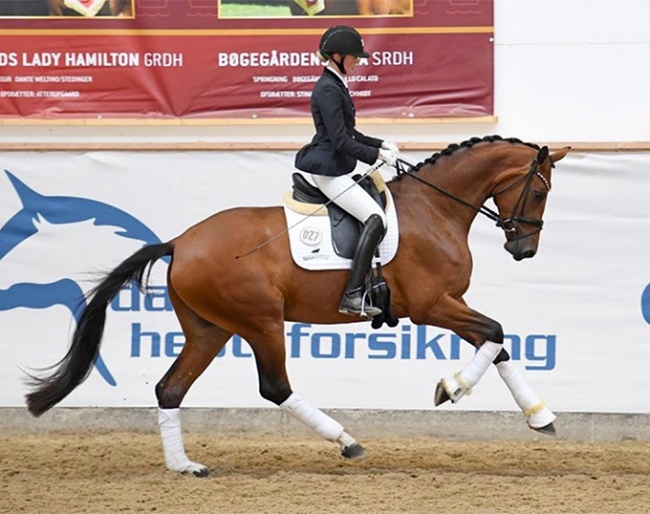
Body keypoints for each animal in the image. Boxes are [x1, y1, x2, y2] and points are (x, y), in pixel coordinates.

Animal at [25, 134, 568, 474]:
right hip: (260, 321)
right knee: (274, 387)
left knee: (170, 387)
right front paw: (450, 388)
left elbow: (497, 343)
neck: (434, 209)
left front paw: (539, 417)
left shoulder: (450, 303)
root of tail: (180, 241)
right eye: (539, 192)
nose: (524, 249)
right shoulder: (433, 304)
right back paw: (347, 442)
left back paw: (185, 466)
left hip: (210, 328)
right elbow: (496, 333)